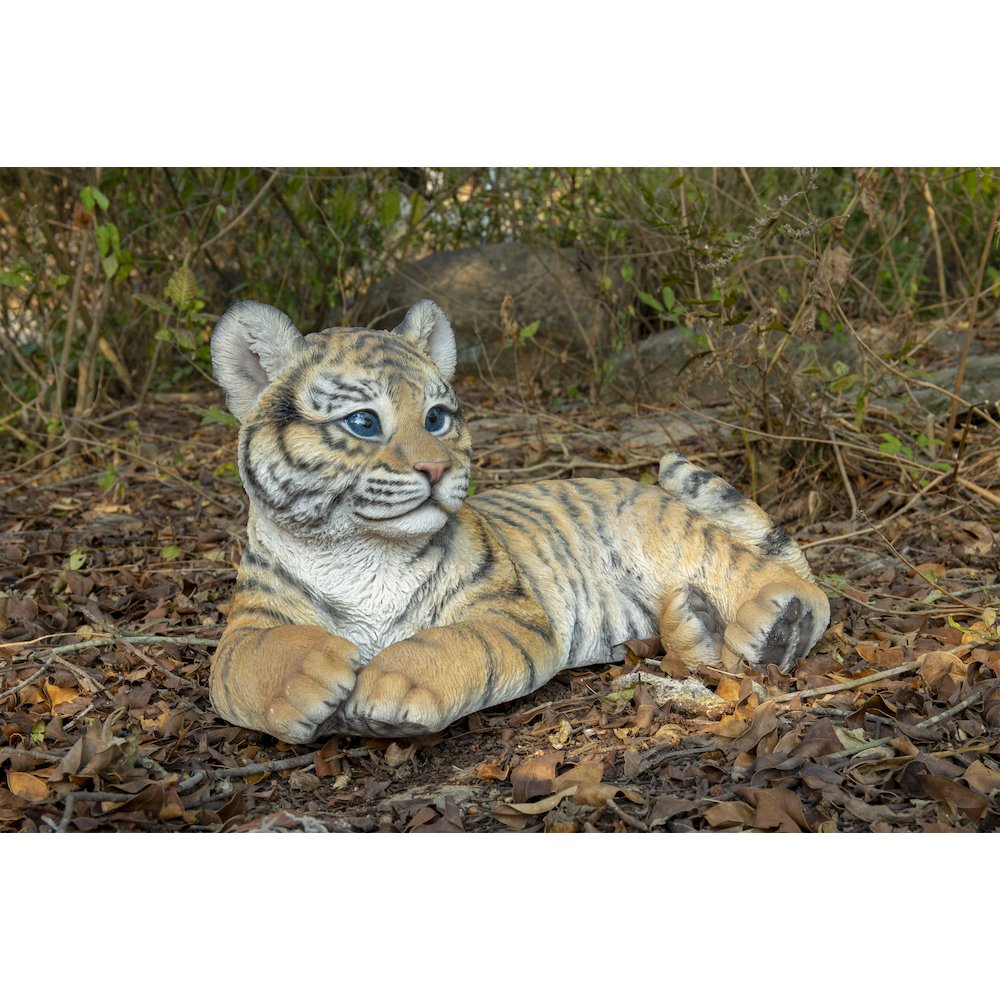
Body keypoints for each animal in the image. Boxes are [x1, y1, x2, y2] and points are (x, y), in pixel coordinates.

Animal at [208, 298, 831, 743]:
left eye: (436, 418)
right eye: (363, 422)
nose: (436, 467)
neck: (360, 551)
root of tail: (637, 484)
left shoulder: (507, 611)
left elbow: (452, 642)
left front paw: (390, 683)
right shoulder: (247, 621)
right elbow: (245, 662)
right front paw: (308, 673)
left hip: (671, 533)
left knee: (785, 579)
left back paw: (776, 626)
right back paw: (693, 621)